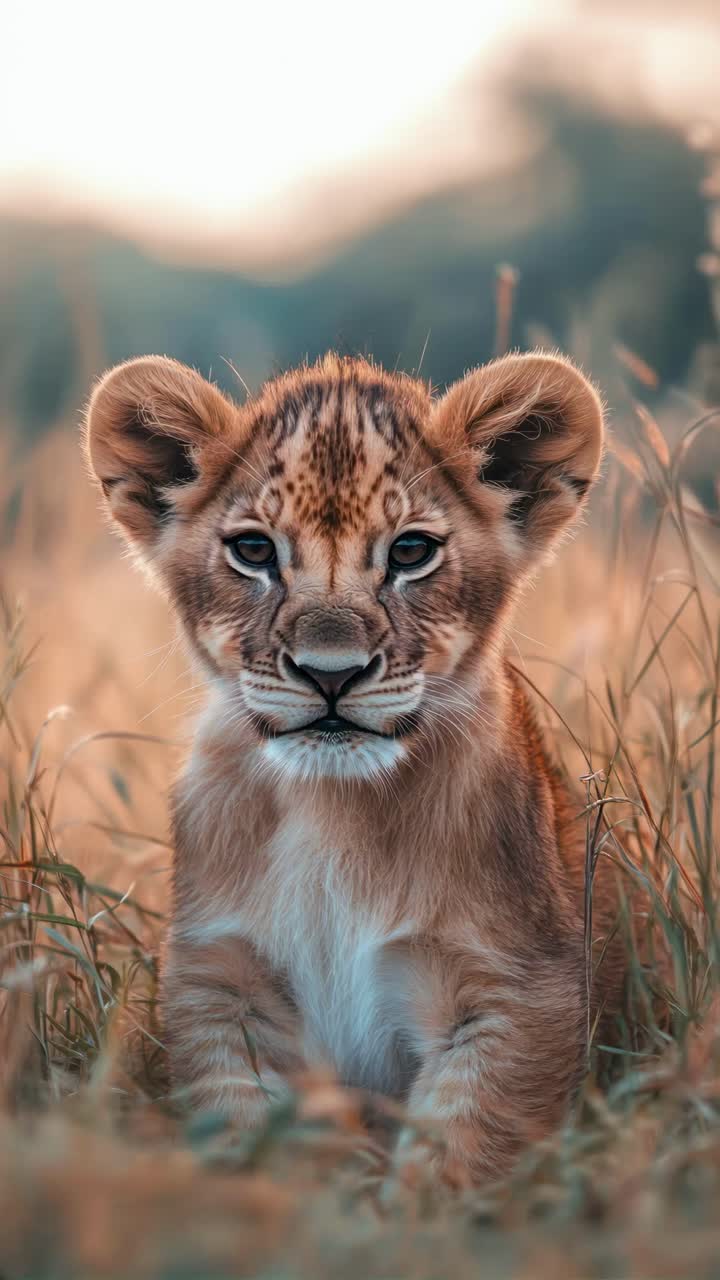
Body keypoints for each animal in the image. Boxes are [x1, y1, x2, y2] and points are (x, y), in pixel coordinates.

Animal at [85, 349, 624, 1184]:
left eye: (410, 551)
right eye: (254, 551)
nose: (329, 674)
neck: (332, 808)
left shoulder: (523, 985)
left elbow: (458, 1155)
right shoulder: (221, 983)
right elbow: (252, 1139)